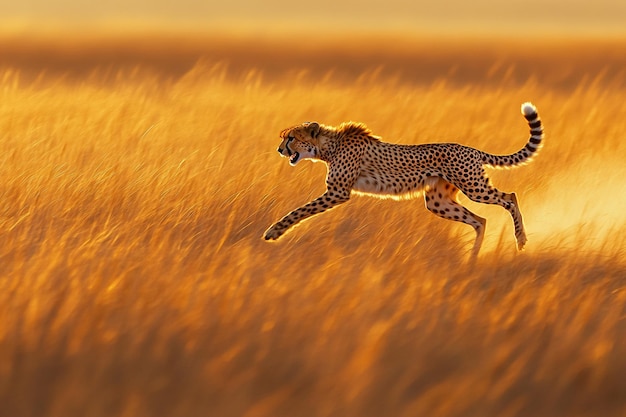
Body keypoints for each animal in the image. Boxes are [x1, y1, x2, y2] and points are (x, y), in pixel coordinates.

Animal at [264, 102, 540, 255]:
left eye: (291, 138)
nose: (279, 150)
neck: (329, 146)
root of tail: (471, 149)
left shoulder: (338, 192)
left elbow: (300, 210)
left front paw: (274, 231)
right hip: (437, 202)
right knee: (480, 220)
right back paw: (473, 257)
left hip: (473, 186)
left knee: (510, 197)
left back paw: (521, 239)